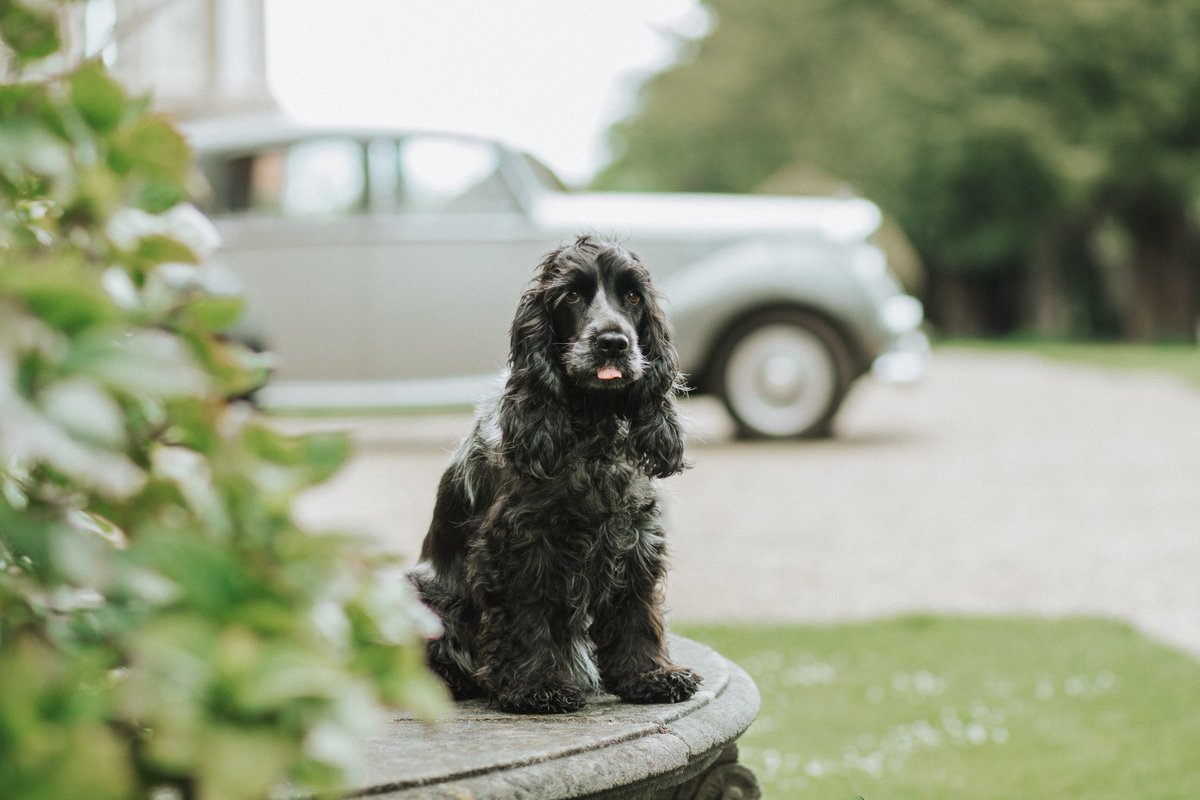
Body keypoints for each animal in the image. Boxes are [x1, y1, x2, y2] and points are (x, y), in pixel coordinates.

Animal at [408, 235, 700, 714]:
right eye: (573, 296)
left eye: (633, 296)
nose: (614, 343)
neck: (593, 432)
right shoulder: (520, 544)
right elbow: (527, 615)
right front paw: (536, 686)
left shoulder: (635, 536)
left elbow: (637, 611)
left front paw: (651, 674)